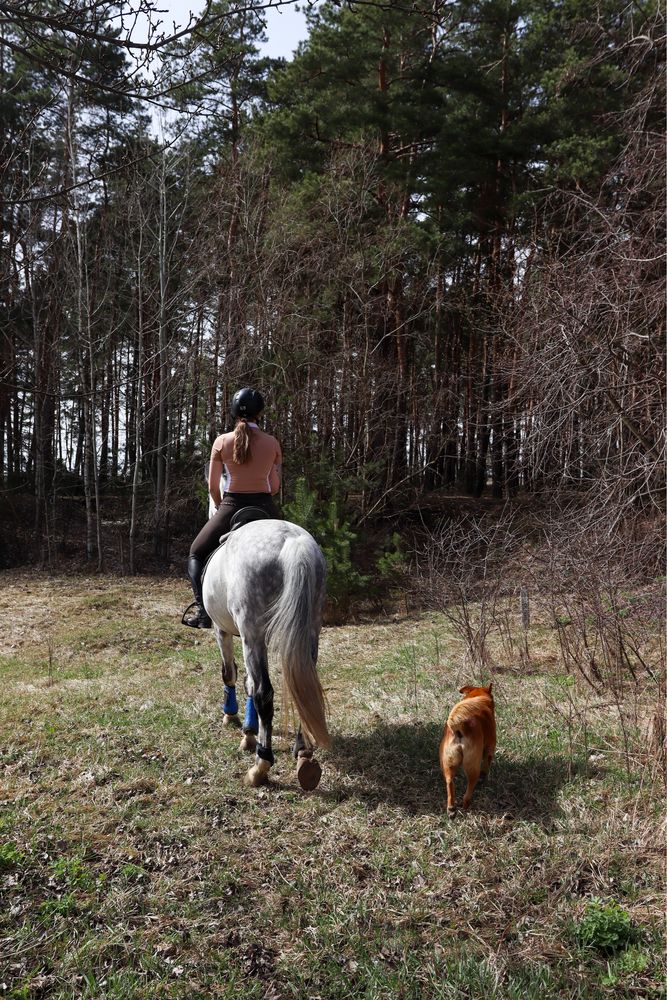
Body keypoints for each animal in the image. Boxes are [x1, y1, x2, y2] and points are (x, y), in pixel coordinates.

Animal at [202, 516, 330, 788]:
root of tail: (293, 542)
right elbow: (248, 682)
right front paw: (249, 734)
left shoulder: (222, 630)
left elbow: (231, 674)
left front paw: (232, 718)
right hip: (309, 630)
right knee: (302, 689)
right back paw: (304, 756)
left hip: (253, 633)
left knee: (264, 693)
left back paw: (259, 768)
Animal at [438, 684, 496, 816]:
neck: (478, 696)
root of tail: (458, 728)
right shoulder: (490, 748)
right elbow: (487, 764)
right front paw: (484, 777)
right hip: (472, 766)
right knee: (468, 791)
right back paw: (466, 806)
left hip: (447, 762)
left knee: (449, 782)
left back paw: (451, 809)